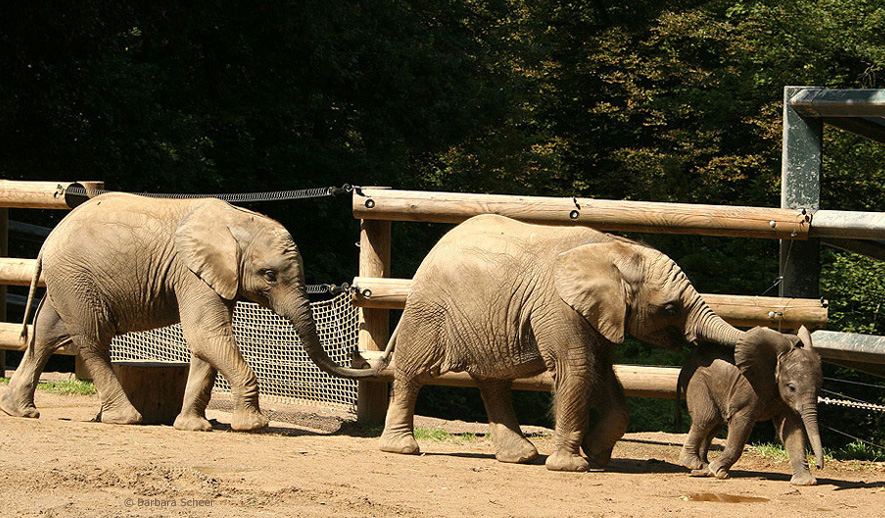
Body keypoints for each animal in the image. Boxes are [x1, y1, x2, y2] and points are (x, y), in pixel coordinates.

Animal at [1, 193, 386, 432]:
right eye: (269, 275)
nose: (357, 354)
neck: (237, 220)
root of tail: (49, 239)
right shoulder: (190, 272)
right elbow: (207, 333)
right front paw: (253, 426)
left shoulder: (216, 277)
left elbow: (206, 344)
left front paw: (193, 427)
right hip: (78, 278)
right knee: (93, 341)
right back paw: (126, 418)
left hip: (68, 279)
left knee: (45, 334)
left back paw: (19, 411)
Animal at [376, 213, 744, 474]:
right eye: (670, 308)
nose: (700, 349)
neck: (614, 249)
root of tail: (432, 250)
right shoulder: (559, 306)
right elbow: (576, 370)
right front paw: (572, 467)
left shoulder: (599, 314)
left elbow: (601, 372)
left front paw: (596, 455)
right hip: (430, 310)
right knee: (413, 372)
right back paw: (401, 449)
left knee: (493, 382)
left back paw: (520, 457)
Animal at [680, 328, 824, 486]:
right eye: (792, 388)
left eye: (819, 388)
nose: (819, 466)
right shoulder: (750, 389)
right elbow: (742, 422)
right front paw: (718, 471)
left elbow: (792, 430)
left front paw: (805, 482)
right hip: (698, 380)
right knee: (707, 419)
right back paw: (693, 464)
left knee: (715, 426)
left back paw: (702, 469)